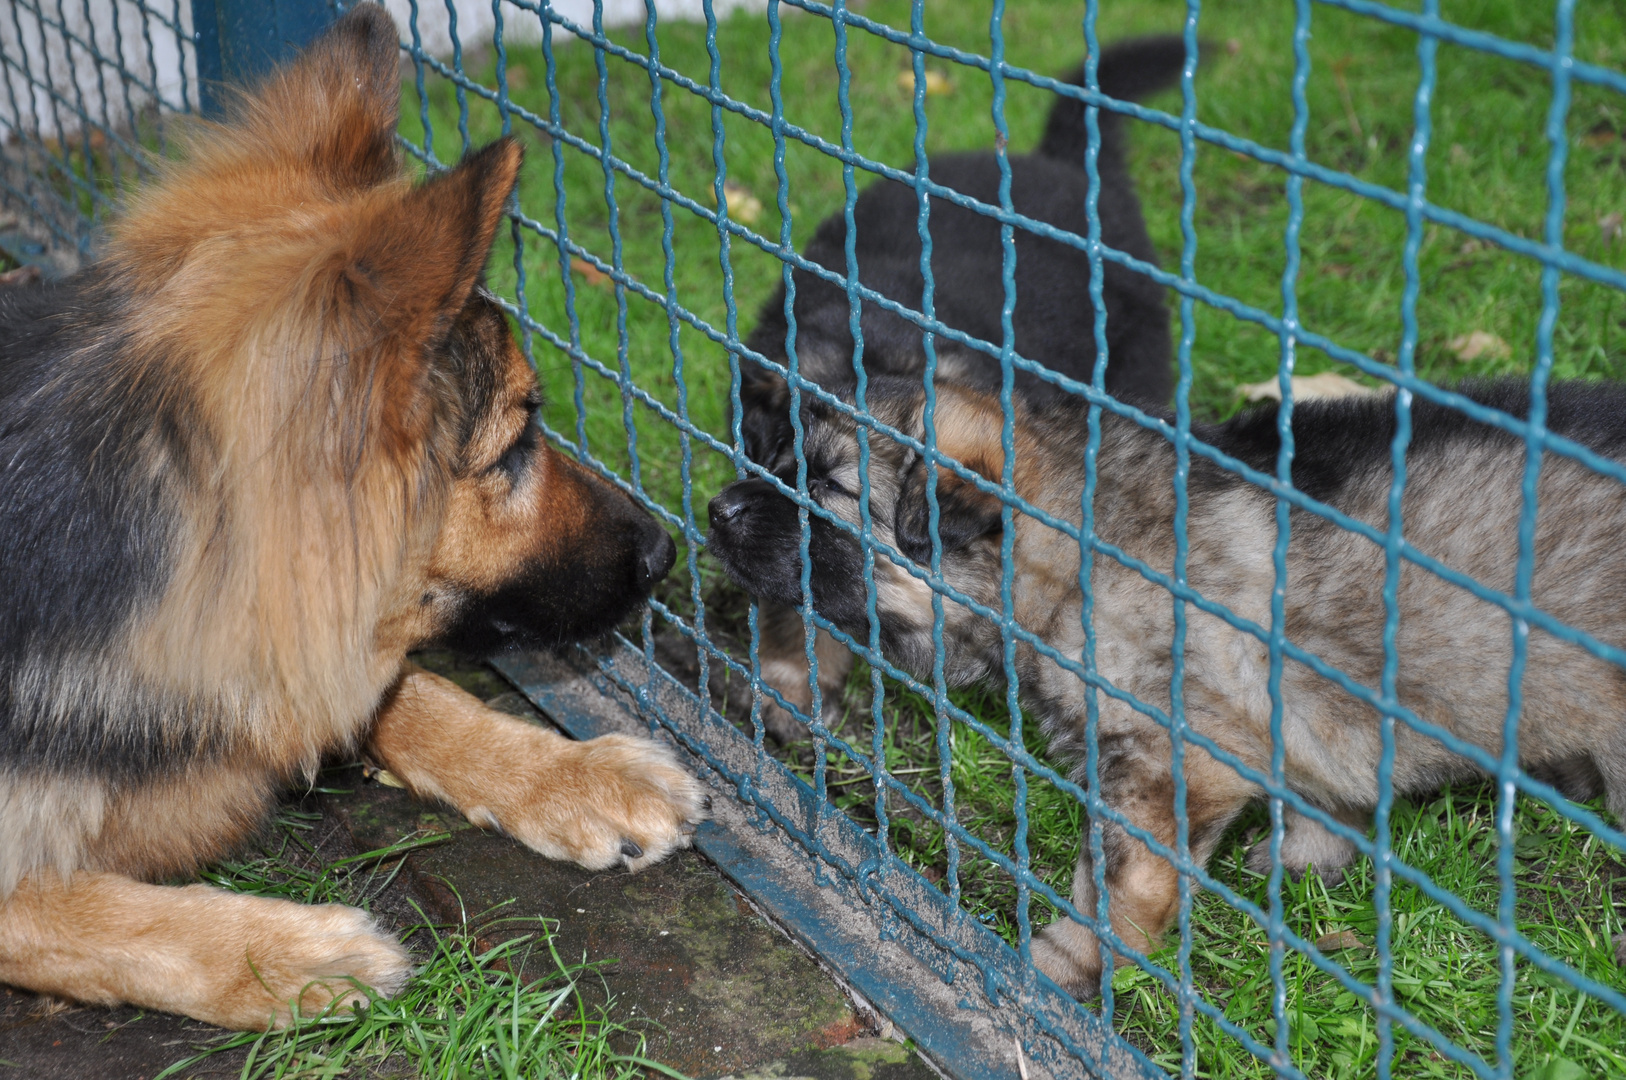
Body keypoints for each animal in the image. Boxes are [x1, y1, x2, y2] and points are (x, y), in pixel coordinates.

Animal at [1, 10, 712, 1040]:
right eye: (515, 443)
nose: (666, 552)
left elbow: (401, 689)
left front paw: (573, 774)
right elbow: (74, 908)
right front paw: (281, 955)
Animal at [705, 375, 1626, 1001]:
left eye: (827, 487)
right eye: (778, 458)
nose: (716, 509)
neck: (1073, 559)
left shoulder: (1163, 763)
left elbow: (1114, 883)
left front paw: (1069, 964)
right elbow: (1325, 792)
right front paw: (1308, 859)